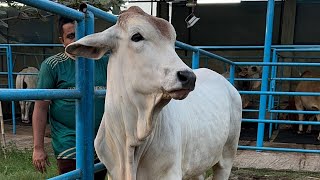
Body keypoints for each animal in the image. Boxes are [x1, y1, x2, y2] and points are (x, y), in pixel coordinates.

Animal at [65, 5, 241, 180]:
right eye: (136, 36)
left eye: (173, 42)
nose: (188, 77)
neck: (131, 137)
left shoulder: (170, 173)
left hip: (227, 155)